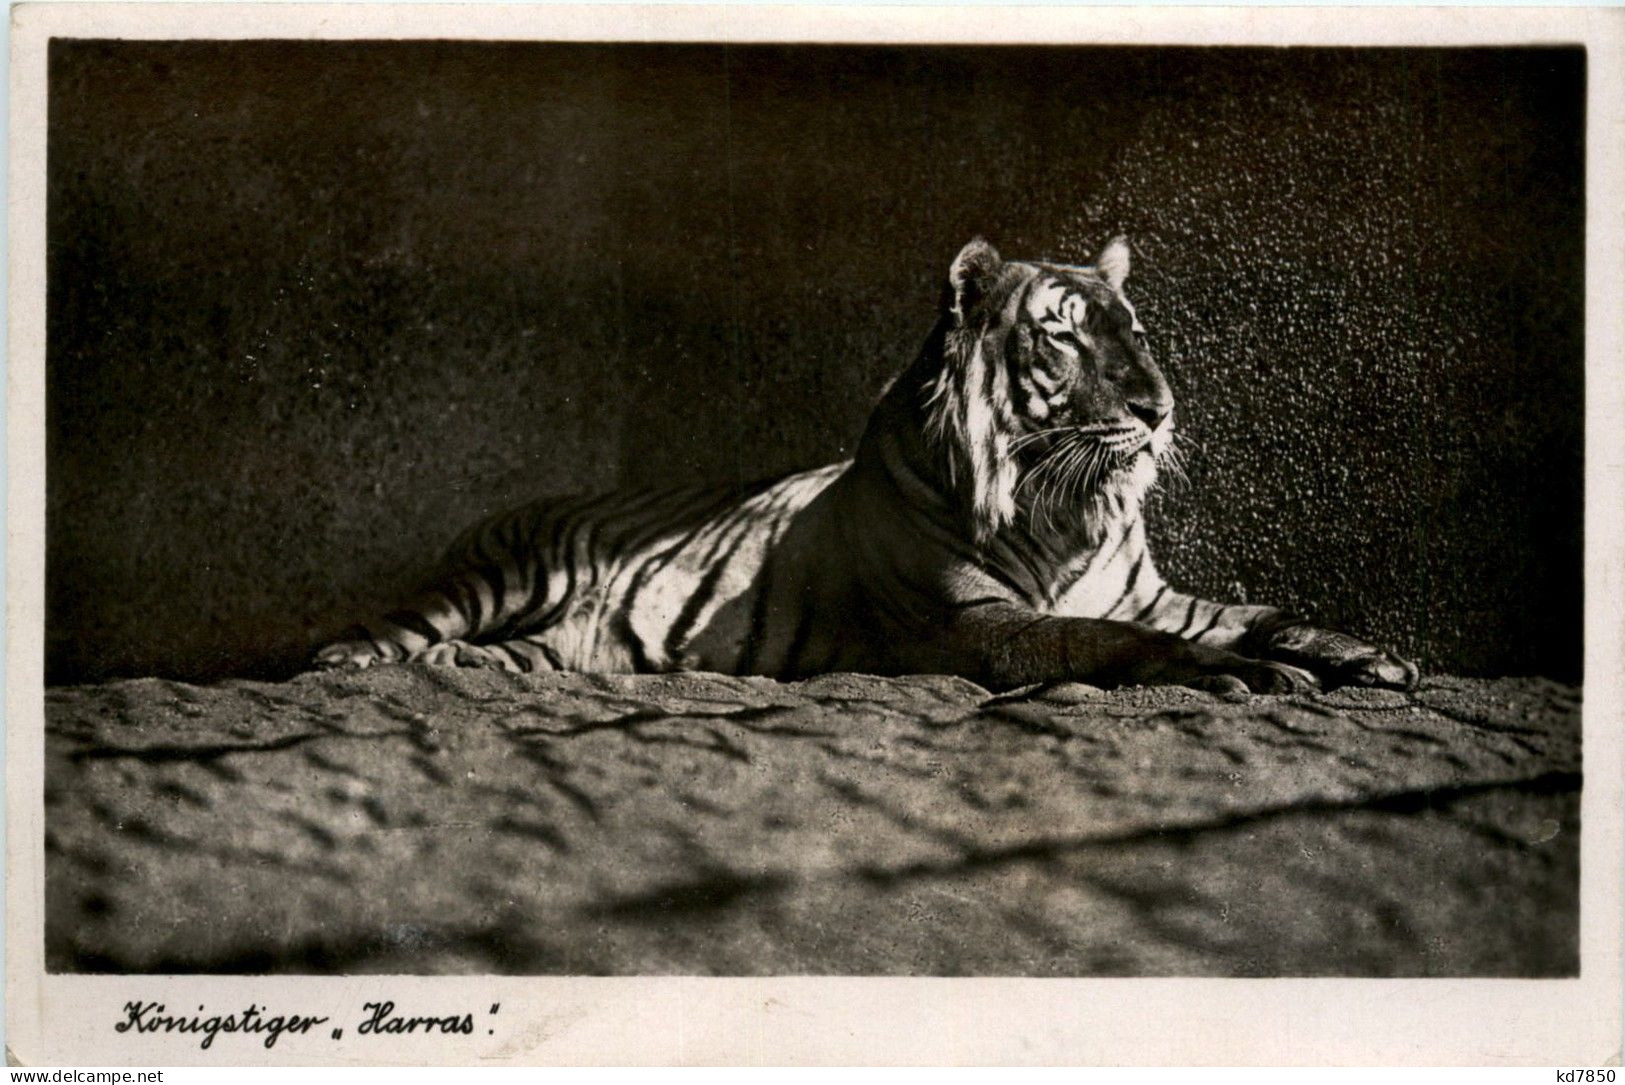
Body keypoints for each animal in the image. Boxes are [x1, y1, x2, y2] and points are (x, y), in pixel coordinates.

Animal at [310, 237, 1417, 695]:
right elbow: (1103, 640)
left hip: (549, 642)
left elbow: (1260, 610)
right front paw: (1245, 675)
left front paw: (1364, 654)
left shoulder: (1153, 591)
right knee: (365, 636)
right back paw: (356, 666)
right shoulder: (970, 621)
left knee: (505, 657)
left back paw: (457, 668)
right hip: (495, 578)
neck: (1067, 512)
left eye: (1133, 332)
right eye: (1065, 338)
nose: (1159, 409)